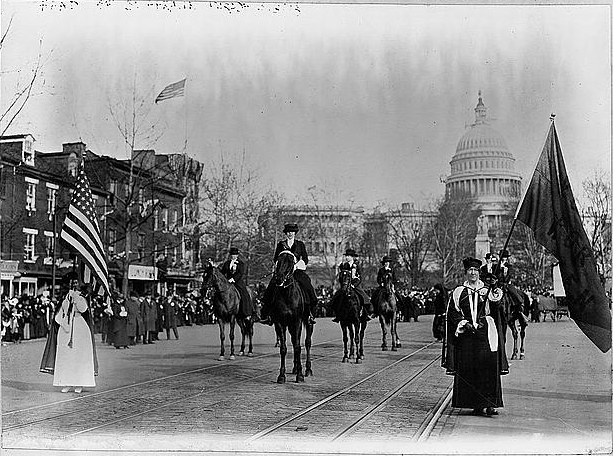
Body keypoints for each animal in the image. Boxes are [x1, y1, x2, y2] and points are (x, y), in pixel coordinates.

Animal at [270, 251, 314, 382]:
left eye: (290, 262)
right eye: (278, 260)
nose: (279, 278)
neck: (287, 294)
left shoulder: (297, 321)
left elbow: (298, 347)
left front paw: (300, 375)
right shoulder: (280, 323)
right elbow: (284, 348)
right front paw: (281, 375)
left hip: (308, 322)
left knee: (307, 342)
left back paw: (307, 369)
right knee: (294, 342)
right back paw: (295, 368)